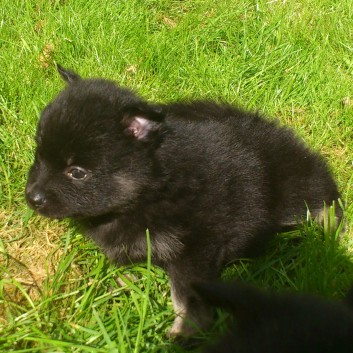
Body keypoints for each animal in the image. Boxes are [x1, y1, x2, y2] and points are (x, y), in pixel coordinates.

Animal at [26, 65, 340, 336]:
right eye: (39, 154)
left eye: (77, 172)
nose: (32, 197)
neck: (154, 188)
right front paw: (125, 284)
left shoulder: (197, 247)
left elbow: (186, 295)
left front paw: (185, 330)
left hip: (295, 191)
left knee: (325, 204)